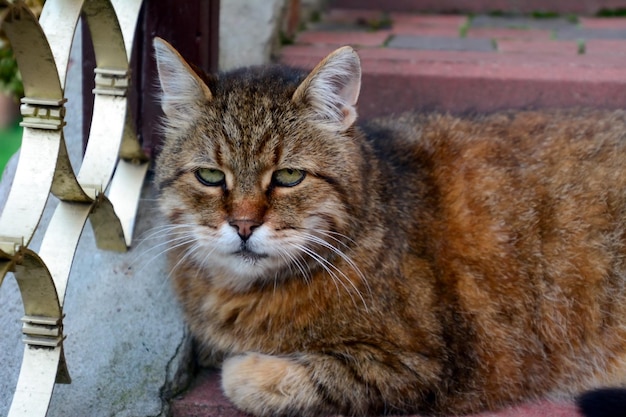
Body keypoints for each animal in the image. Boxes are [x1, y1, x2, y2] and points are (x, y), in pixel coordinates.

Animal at [151, 36, 624, 416]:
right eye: (210, 176)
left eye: (288, 176)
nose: (244, 225)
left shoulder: (420, 366)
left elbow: (269, 378)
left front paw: (244, 366)